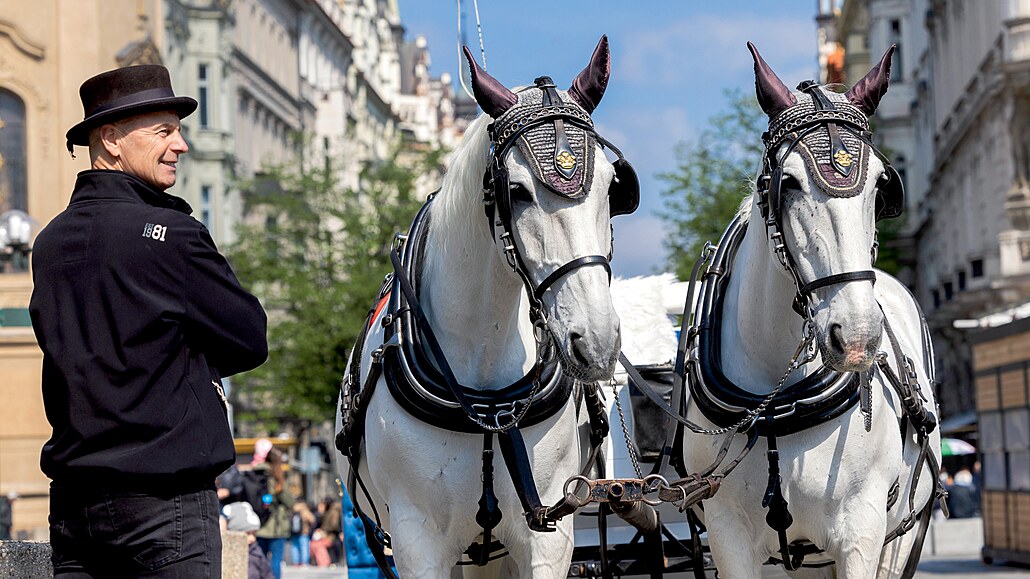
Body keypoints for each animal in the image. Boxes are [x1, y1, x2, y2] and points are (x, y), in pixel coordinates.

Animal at [679, 42, 943, 572]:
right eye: (790, 184)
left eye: (881, 187)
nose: (858, 337)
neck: (775, 405)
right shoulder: (727, 534)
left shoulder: (861, 530)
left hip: (900, 537)